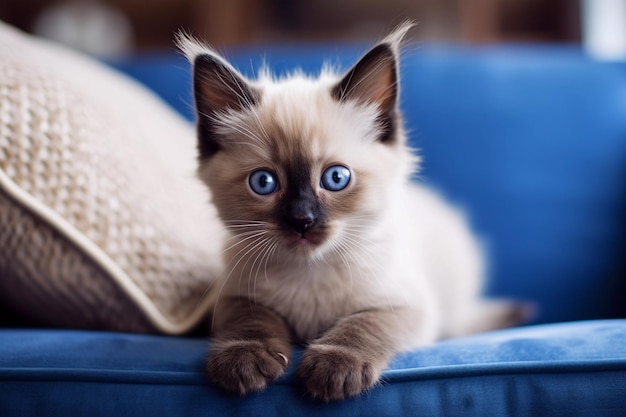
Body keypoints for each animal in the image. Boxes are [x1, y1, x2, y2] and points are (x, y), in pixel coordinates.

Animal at [178, 22, 524, 400]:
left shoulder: (407, 306)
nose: (302, 221)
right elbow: (249, 320)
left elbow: (363, 324)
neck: (310, 272)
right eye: (264, 182)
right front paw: (244, 360)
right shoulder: (234, 294)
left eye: (336, 178)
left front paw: (334, 369)